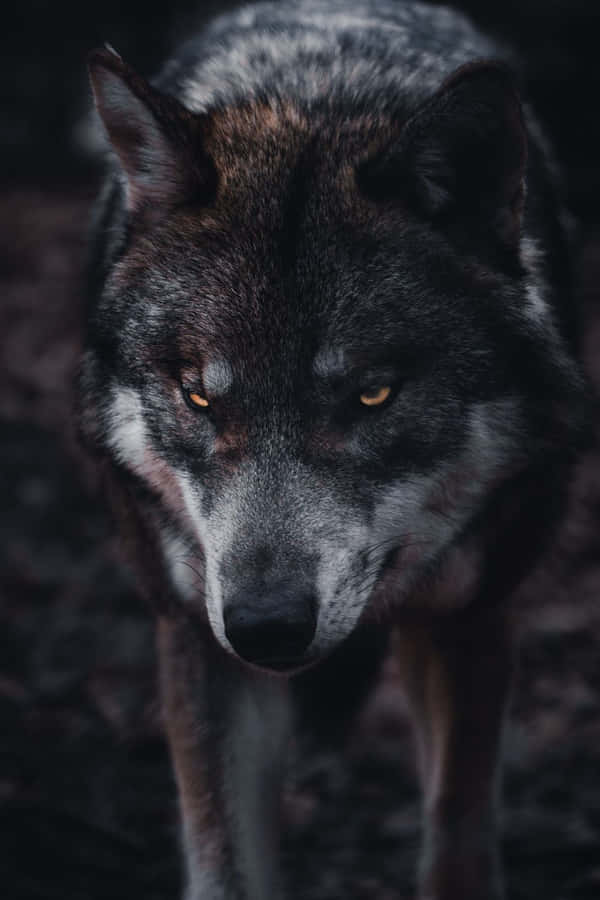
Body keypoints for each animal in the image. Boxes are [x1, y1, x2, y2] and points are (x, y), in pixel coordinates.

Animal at [81, 1, 592, 898]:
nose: (265, 626)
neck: (315, 96)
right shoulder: (194, 632)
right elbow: (225, 863)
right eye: (199, 396)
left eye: (372, 395)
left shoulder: (473, 614)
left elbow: (458, 836)